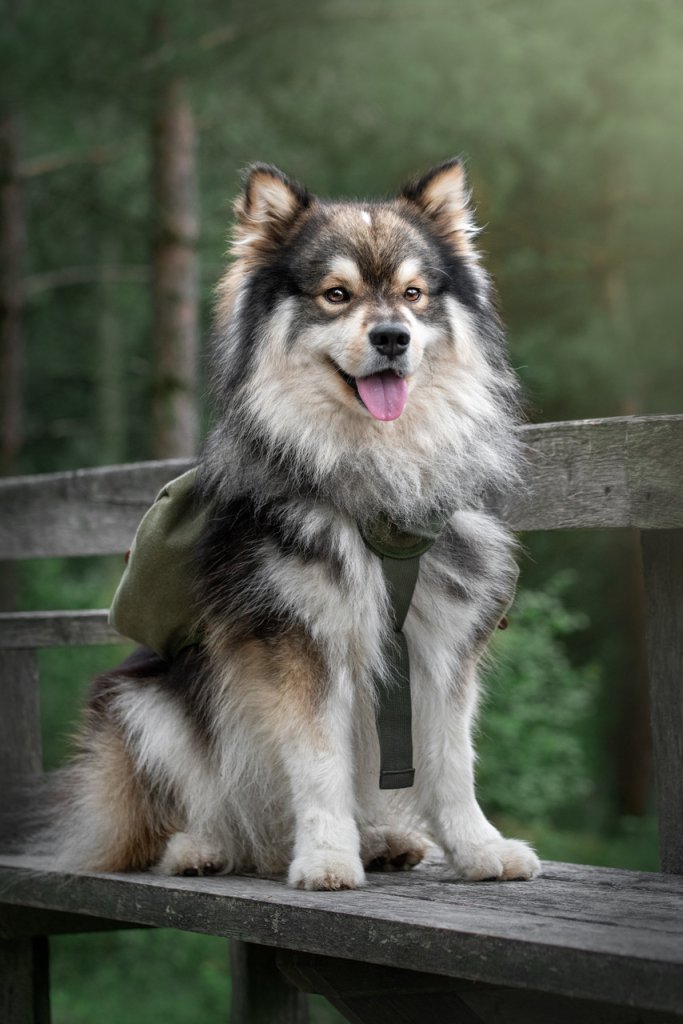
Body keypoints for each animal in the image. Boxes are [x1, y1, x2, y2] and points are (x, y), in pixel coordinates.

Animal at [40, 157, 540, 888]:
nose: (392, 337)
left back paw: (379, 838)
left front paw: (478, 848)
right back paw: (205, 847)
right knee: (177, 819)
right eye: (336, 294)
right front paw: (327, 857)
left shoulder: (441, 641)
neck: (374, 483)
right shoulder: (300, 643)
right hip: (143, 706)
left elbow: (451, 762)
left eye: (413, 293)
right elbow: (319, 764)